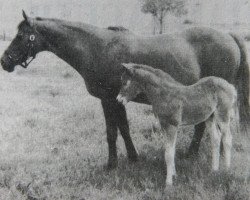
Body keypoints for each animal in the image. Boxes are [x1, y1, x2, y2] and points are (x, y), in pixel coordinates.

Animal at [0, 11, 249, 170]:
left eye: (20, 36)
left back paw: (195, 154)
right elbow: (124, 129)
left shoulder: (108, 99)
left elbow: (112, 132)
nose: (4, 61)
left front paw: (111, 165)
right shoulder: (117, 99)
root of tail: (229, 36)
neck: (96, 48)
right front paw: (132, 158)